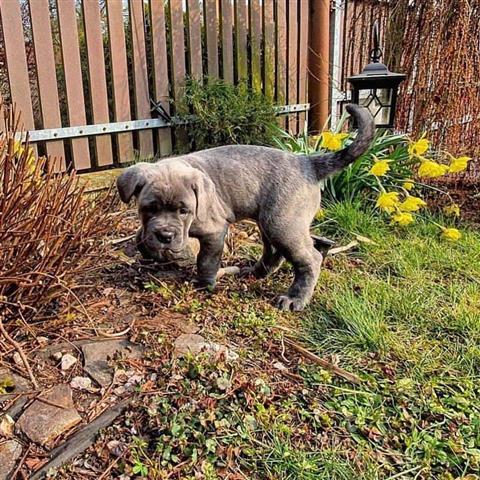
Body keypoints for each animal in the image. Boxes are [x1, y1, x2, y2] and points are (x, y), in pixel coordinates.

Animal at [116, 104, 376, 312]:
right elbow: (141, 235)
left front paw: (204, 284)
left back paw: (295, 298)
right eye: (149, 208)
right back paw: (256, 272)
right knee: (276, 252)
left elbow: (206, 260)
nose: (166, 235)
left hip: (282, 224)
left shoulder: (214, 231)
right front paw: (150, 249)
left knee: (309, 258)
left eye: (184, 211)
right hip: (271, 223)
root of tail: (306, 162)